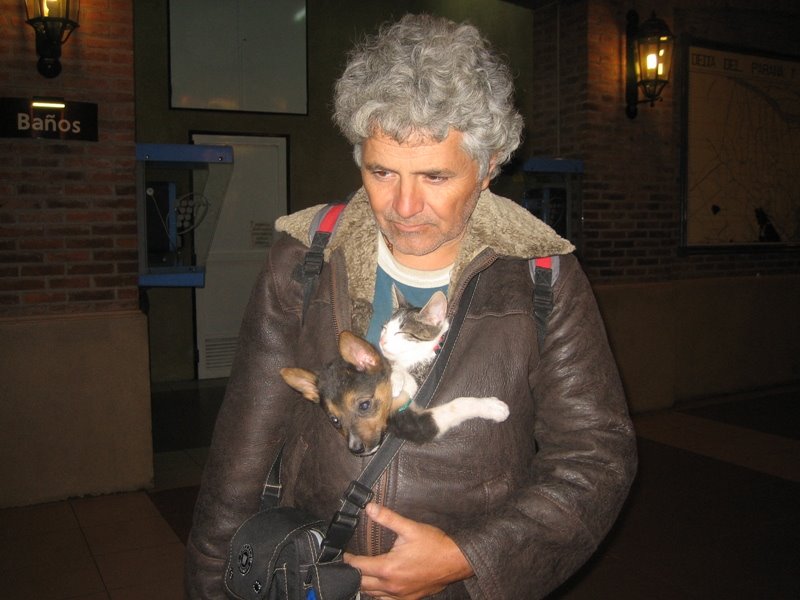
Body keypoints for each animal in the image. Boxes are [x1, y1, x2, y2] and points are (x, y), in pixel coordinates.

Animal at [280, 328, 506, 454]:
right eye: (334, 420)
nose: (355, 449)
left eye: (364, 405)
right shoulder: (418, 425)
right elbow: (457, 405)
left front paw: (402, 379)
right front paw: (492, 407)